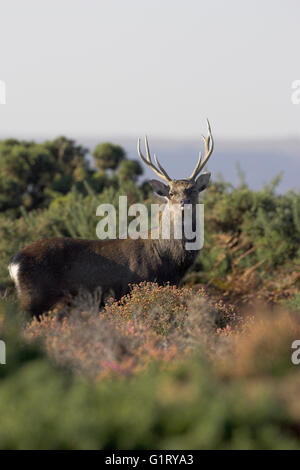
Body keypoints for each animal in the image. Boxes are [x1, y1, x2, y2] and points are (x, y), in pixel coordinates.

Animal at [8, 120, 214, 316]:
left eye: (193, 190)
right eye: (170, 193)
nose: (184, 202)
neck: (168, 261)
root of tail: (13, 262)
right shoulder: (133, 288)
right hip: (34, 296)